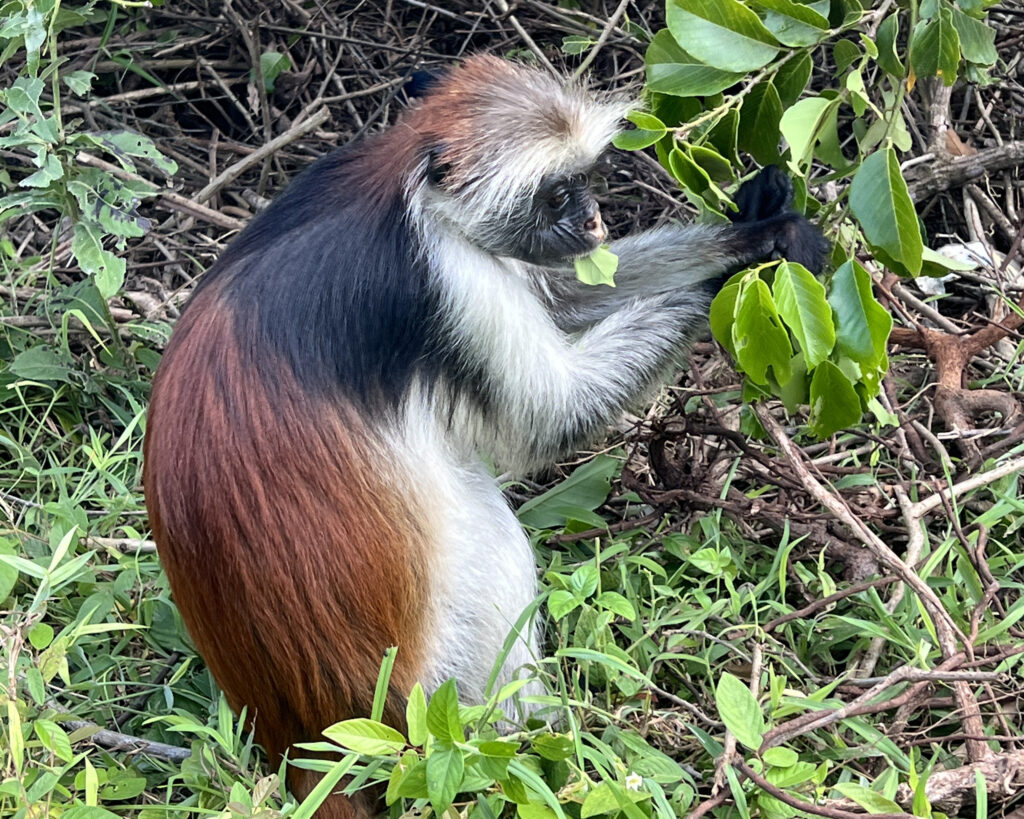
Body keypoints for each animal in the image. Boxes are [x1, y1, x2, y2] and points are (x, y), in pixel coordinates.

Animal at [143, 55, 826, 817]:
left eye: (585, 181)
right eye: (556, 195)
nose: (593, 219)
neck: (402, 189)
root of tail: (302, 736)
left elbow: (563, 296)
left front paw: (752, 218)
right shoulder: (451, 277)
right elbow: (551, 414)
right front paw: (747, 258)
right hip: (420, 690)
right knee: (489, 538)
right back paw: (538, 746)